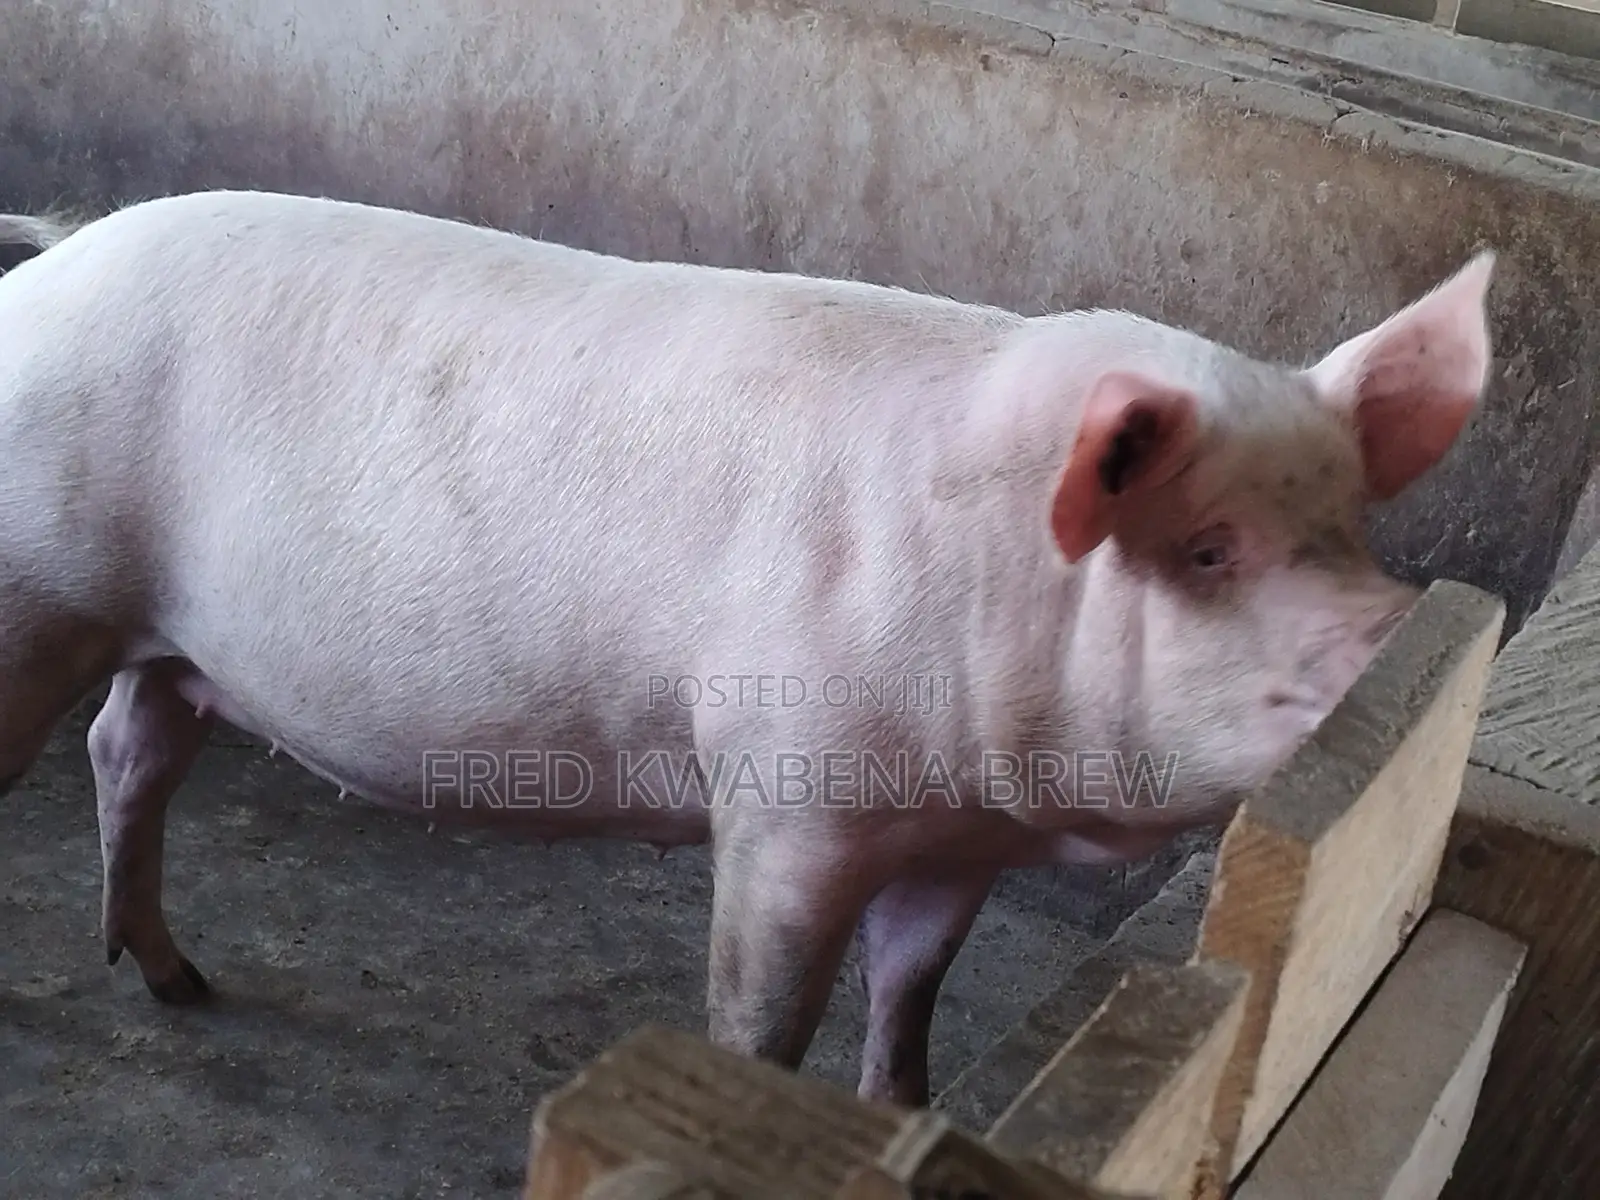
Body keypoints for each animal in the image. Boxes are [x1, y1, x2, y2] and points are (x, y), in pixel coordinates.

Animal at [0, 190, 1494, 1108]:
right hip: (38, 589)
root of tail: (49, 264)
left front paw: (900, 1107)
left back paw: (177, 982)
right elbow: (763, 1015)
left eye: (1350, 528)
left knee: (128, 749)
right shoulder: (789, 798)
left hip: (170, 642)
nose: (1392, 629)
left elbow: (911, 992)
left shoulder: (960, 838)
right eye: (1208, 551)